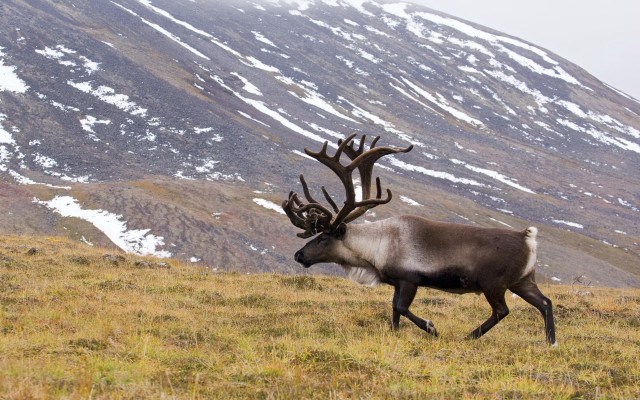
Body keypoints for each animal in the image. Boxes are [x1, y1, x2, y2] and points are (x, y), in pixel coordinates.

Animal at [282, 134, 557, 345]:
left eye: (324, 237)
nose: (298, 255)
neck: (377, 246)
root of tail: (527, 238)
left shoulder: (409, 280)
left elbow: (402, 308)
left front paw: (431, 327)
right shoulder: (395, 282)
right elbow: (394, 309)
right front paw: (394, 334)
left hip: (494, 283)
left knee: (502, 310)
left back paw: (469, 337)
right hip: (522, 281)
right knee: (545, 303)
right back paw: (550, 342)